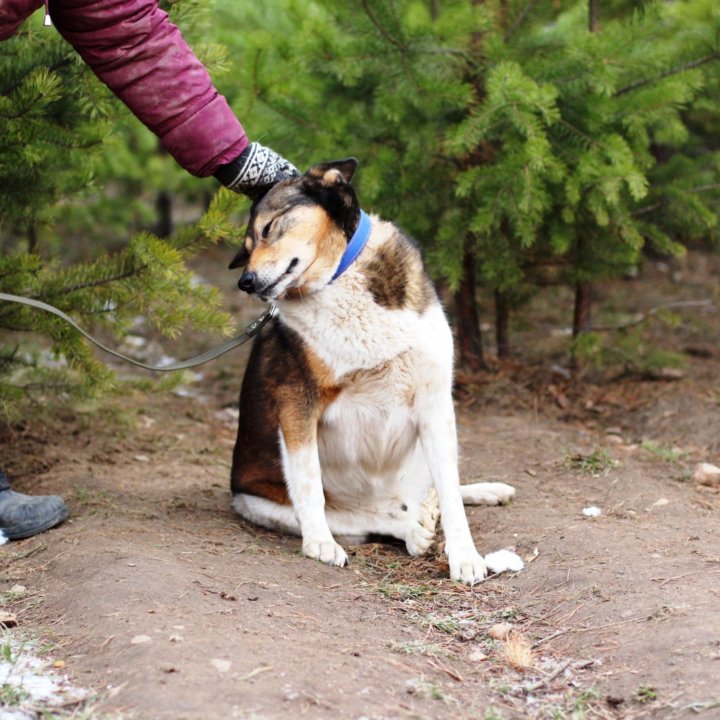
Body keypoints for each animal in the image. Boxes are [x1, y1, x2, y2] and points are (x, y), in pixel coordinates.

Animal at [228, 159, 516, 584]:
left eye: (269, 228)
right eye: (246, 249)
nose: (244, 282)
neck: (338, 280)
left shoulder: (434, 402)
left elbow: (450, 493)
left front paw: (465, 556)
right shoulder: (296, 399)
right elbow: (310, 485)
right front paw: (319, 544)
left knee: (433, 490)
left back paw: (478, 494)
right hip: (257, 502)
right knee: (371, 518)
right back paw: (413, 530)